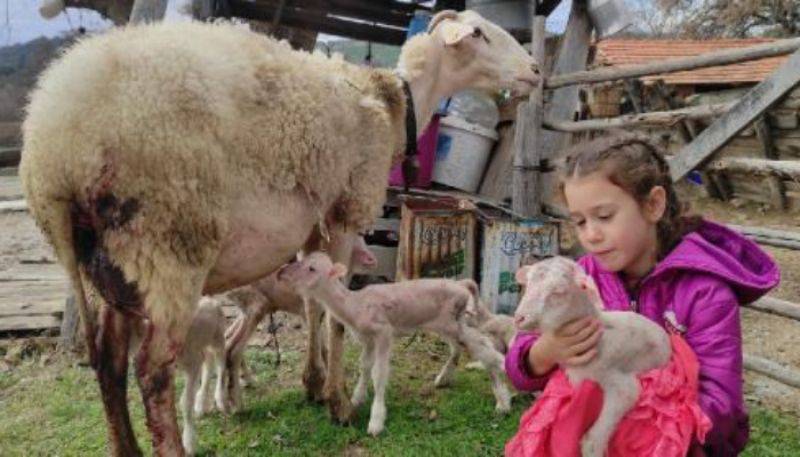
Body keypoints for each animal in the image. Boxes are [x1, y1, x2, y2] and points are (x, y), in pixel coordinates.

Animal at [278, 253, 510, 434]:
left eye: (311, 268)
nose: (282, 273)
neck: (354, 304)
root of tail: (462, 284)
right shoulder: (367, 338)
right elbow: (364, 366)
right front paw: (357, 398)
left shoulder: (383, 332)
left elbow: (378, 373)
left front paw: (376, 420)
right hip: (450, 323)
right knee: (462, 347)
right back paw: (446, 379)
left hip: (453, 322)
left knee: (484, 348)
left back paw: (502, 394)